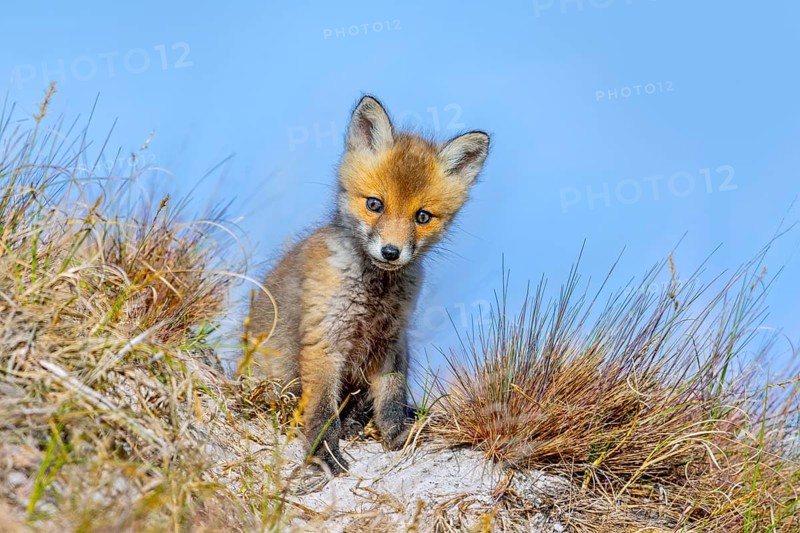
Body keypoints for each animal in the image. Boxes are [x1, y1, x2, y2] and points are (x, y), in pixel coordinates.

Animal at [243, 95, 489, 474]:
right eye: (375, 204)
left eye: (422, 217)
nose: (391, 252)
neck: (375, 292)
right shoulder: (324, 341)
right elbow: (322, 412)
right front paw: (324, 453)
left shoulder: (390, 341)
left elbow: (391, 398)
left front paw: (396, 435)